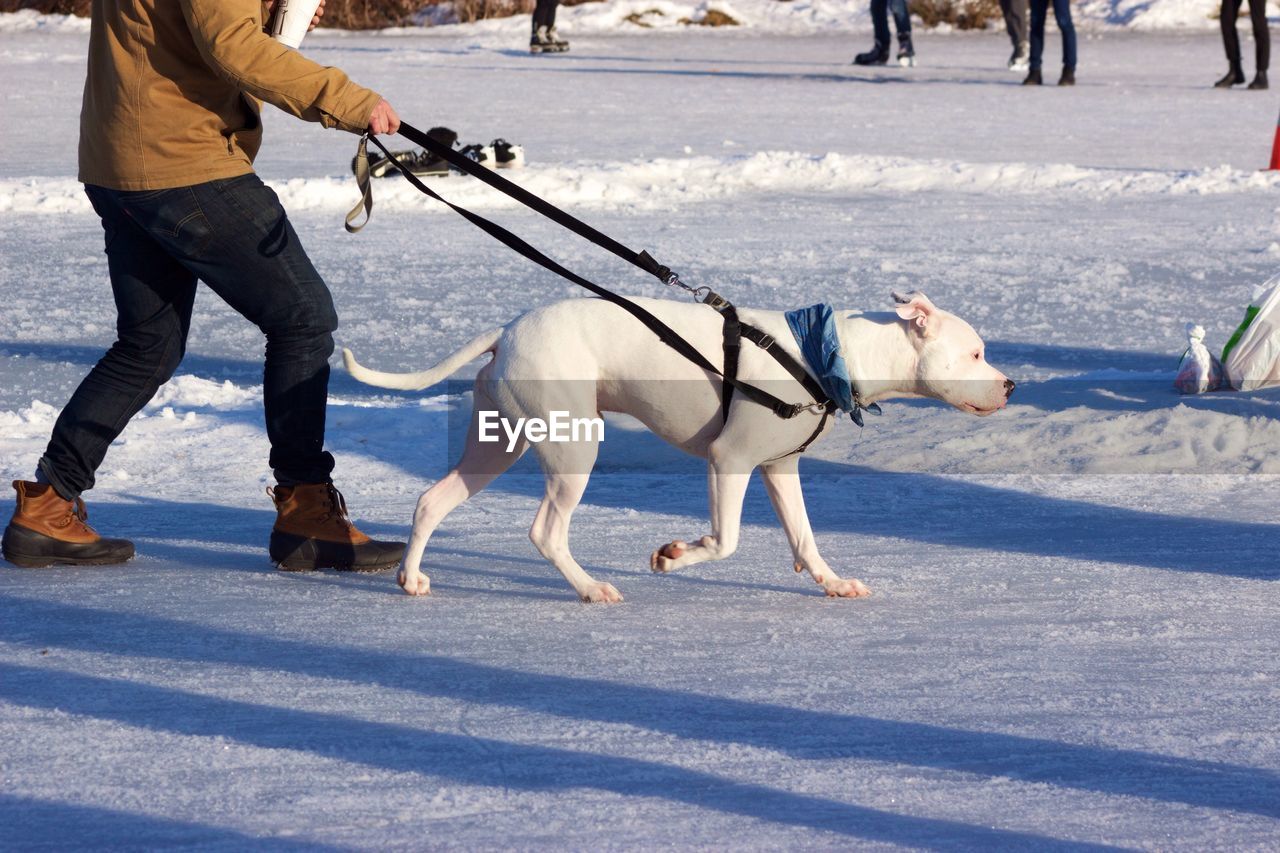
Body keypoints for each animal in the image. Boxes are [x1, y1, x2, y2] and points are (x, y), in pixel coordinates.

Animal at [345, 289, 1013, 601]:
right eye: (977, 353)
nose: (1010, 384)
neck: (826, 353)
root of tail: (506, 332)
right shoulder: (730, 462)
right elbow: (726, 540)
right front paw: (673, 556)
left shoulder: (779, 468)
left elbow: (804, 538)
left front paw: (832, 583)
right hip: (572, 448)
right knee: (545, 531)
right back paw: (590, 588)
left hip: (499, 443)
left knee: (432, 501)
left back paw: (410, 578)